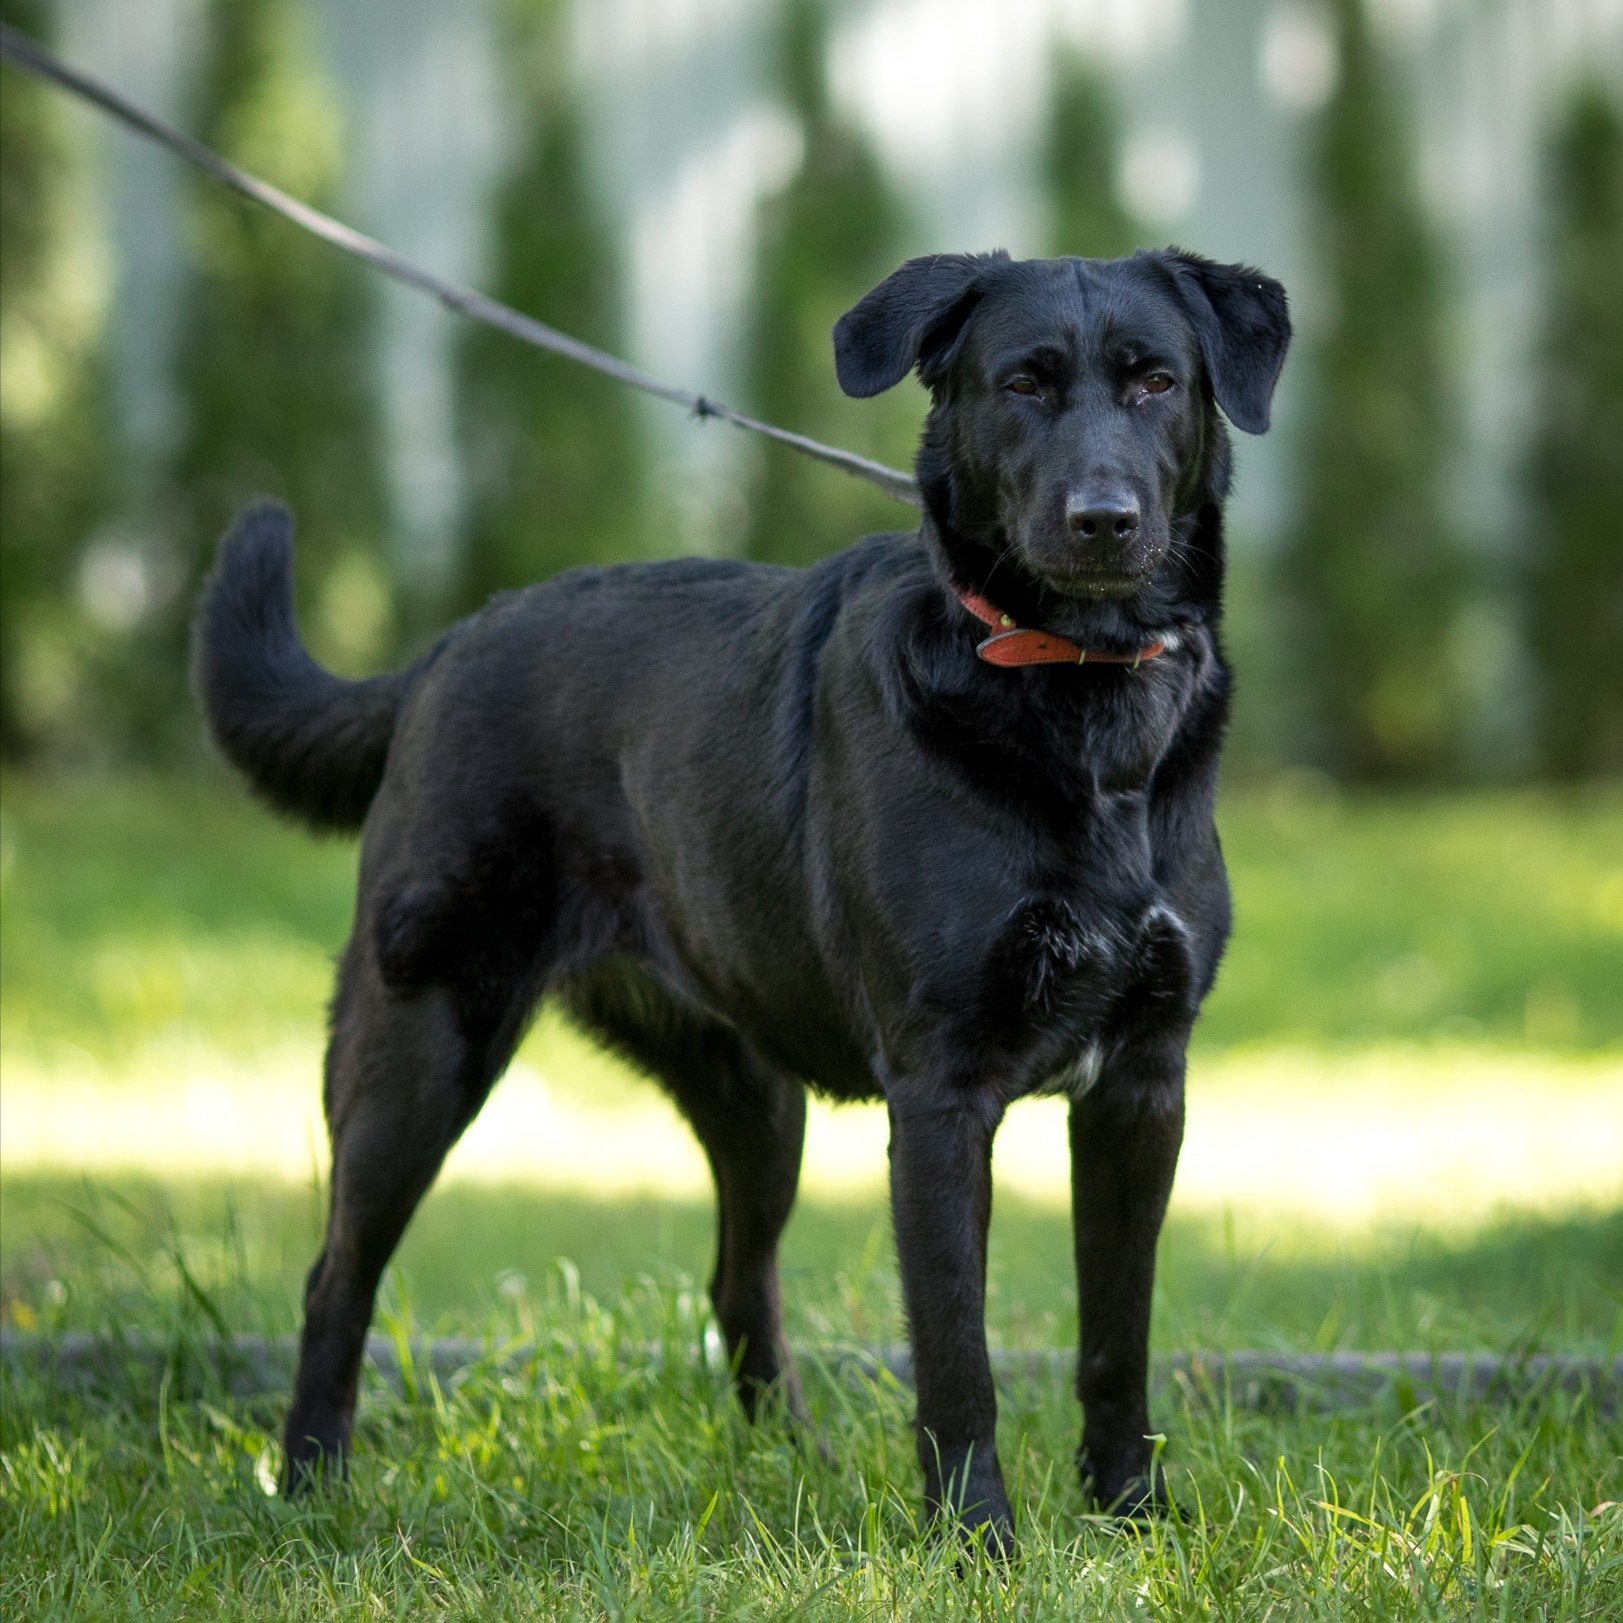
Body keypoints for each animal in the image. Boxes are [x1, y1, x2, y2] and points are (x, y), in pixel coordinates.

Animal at [196, 246, 1291, 1538]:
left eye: (1155, 381)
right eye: (1022, 383)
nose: (1104, 521)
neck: (1081, 699)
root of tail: (447, 647)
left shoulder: (1142, 1088)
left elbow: (1118, 1337)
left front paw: (1131, 1515)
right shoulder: (942, 1095)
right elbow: (956, 1355)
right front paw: (976, 1542)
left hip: (753, 1096)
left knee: (736, 1278)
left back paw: (794, 1466)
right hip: (419, 1042)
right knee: (337, 1273)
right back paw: (311, 1482)